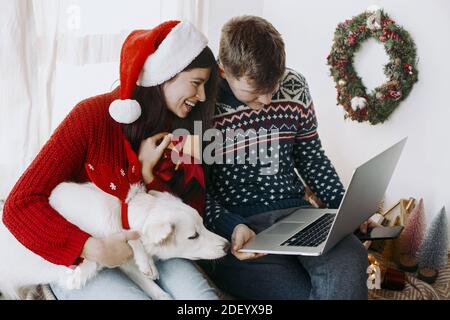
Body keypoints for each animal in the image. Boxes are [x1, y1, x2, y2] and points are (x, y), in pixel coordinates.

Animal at [0, 182, 230, 300]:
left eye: (203, 224)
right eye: (193, 236)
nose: (228, 246)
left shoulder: (126, 264)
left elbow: (154, 288)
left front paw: (148, 264)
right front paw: (146, 261)